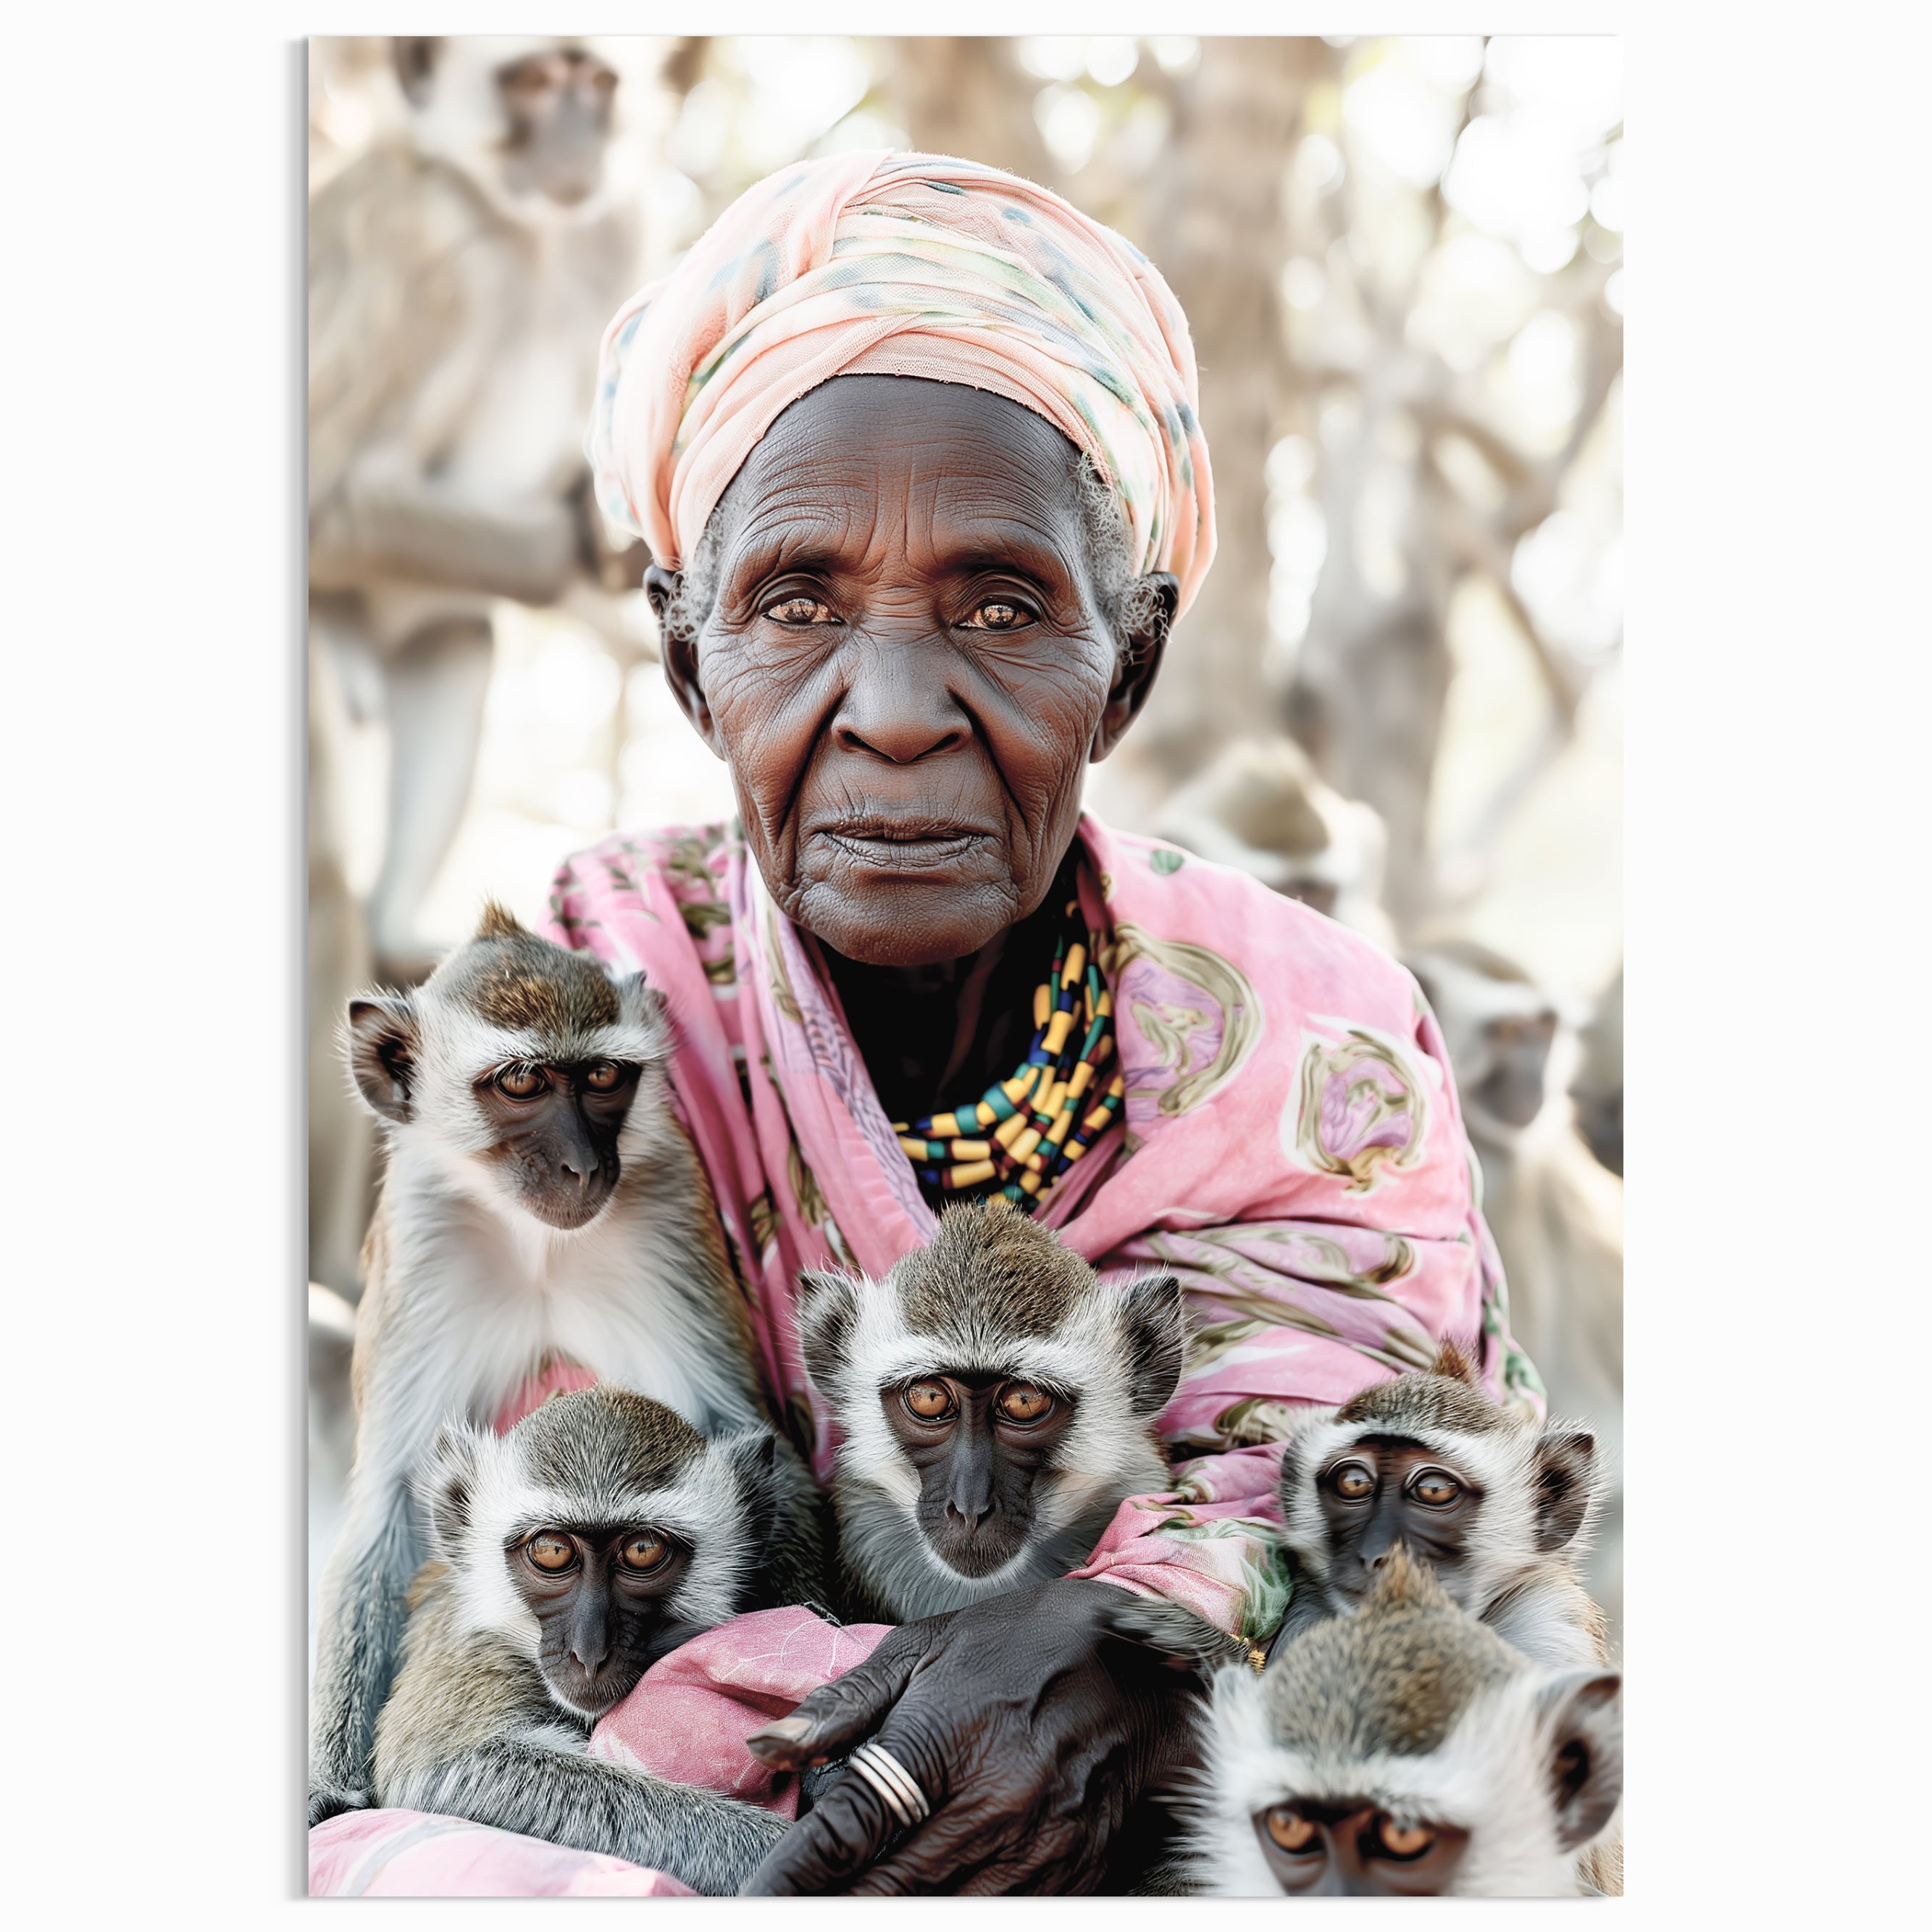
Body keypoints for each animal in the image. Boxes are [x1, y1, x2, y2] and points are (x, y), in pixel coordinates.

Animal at [307, 35, 646, 980]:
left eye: (593, 82)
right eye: (534, 81)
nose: (575, 141)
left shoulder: (609, 227)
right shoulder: (422, 239)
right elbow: (322, 500)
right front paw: (577, 534)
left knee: (456, 638)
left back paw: (394, 933)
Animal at [309, 902, 820, 1826]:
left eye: (604, 1078)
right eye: (522, 1083)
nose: (584, 1166)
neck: (533, 1234)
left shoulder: (665, 1196)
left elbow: (742, 1428)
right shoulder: (419, 1227)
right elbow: (389, 1507)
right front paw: (327, 1794)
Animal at [370, 1385, 817, 1892]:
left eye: (642, 1550)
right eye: (552, 1550)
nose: (589, 1652)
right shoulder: (471, 1654)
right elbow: (440, 1766)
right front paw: (785, 1848)